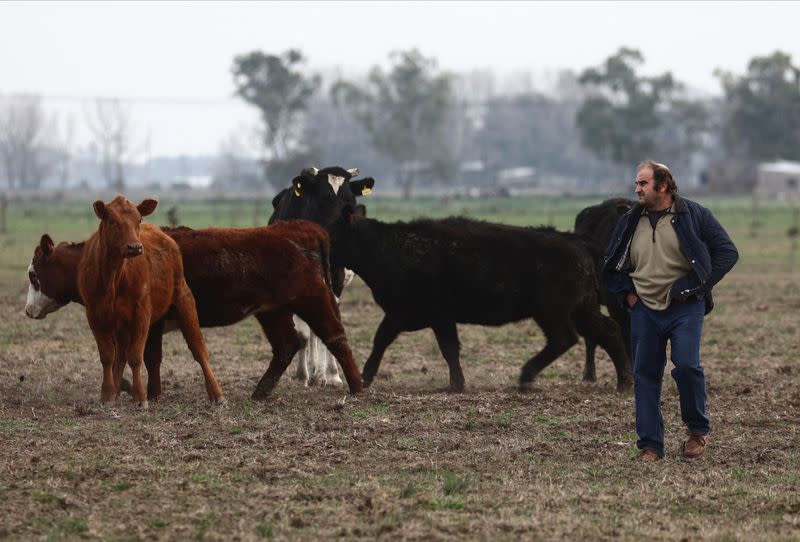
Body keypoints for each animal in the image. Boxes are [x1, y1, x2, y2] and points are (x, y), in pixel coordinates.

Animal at [25, 219, 362, 402]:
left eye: (33, 274)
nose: (28, 310)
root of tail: (301, 229)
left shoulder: (151, 321)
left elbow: (150, 356)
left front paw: (148, 392)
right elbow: (141, 358)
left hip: (313, 300)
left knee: (335, 337)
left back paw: (357, 386)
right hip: (272, 310)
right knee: (287, 345)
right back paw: (260, 391)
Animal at [76, 197, 223, 408]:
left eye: (138, 220)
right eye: (112, 221)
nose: (135, 247)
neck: (113, 277)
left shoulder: (141, 313)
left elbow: (135, 357)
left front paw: (140, 397)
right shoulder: (95, 315)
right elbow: (107, 357)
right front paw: (107, 395)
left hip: (184, 299)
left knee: (199, 349)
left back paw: (216, 393)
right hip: (122, 324)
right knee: (120, 355)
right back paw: (116, 390)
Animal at [268, 166, 376, 386]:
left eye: (350, 202)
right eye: (324, 199)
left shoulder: (336, 279)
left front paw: (333, 375)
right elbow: (303, 335)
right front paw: (302, 376)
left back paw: (320, 373)